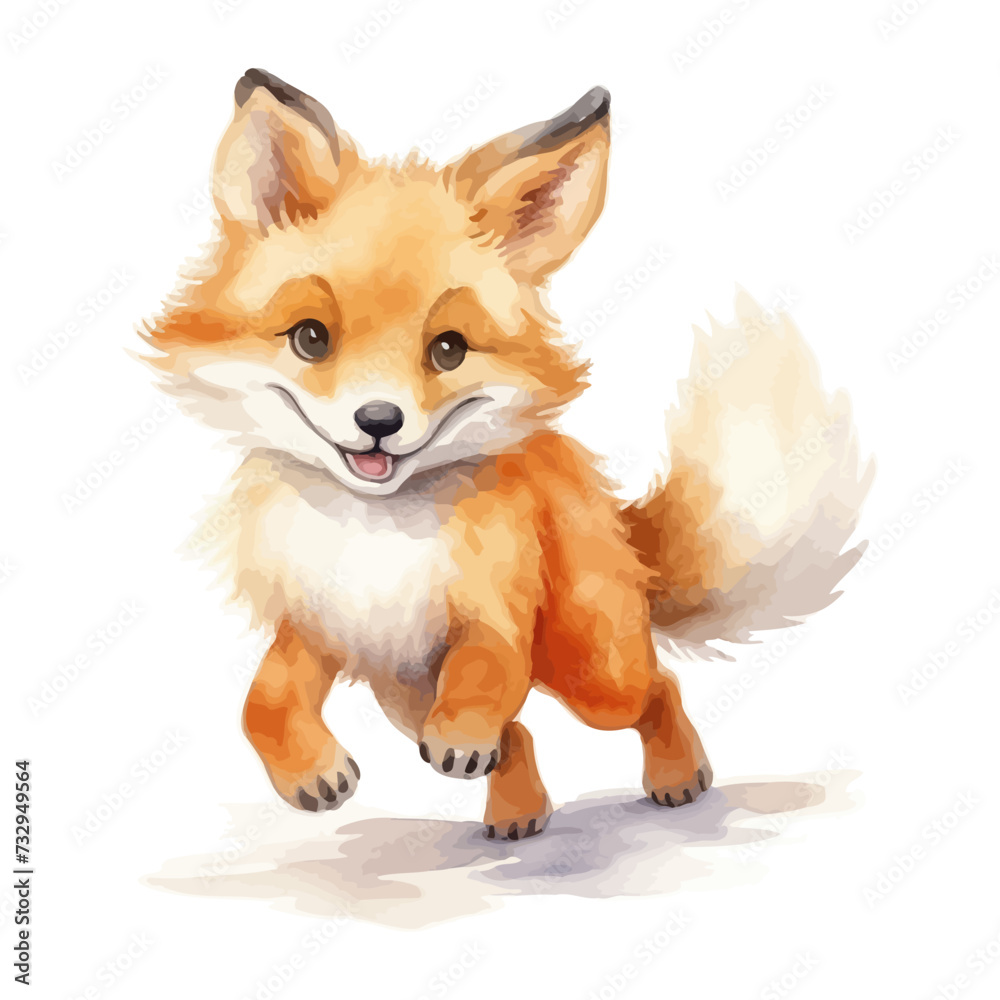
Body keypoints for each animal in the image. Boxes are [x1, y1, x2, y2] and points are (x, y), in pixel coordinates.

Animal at [142, 69, 870, 841]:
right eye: (311, 337)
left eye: (449, 348)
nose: (378, 421)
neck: (379, 532)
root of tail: (613, 521)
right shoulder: (324, 621)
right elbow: (263, 701)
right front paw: (310, 775)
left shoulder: (494, 606)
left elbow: (486, 674)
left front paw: (461, 733)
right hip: (403, 694)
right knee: (518, 733)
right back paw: (520, 812)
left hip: (592, 671)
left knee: (651, 688)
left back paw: (677, 776)